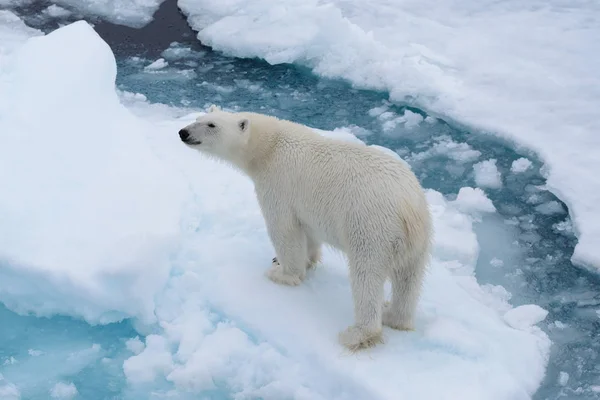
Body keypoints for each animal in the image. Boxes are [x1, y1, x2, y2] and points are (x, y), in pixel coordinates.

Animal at [178, 106, 432, 350]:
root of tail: (410, 207)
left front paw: (283, 273)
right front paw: (301, 261)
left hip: (371, 228)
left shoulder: (278, 183)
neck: (268, 147)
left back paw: (357, 334)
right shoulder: (306, 205)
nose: (183, 132)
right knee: (409, 279)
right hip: (419, 240)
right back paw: (393, 315)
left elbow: (283, 229)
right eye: (198, 118)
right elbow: (308, 231)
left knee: (366, 276)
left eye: (212, 125)